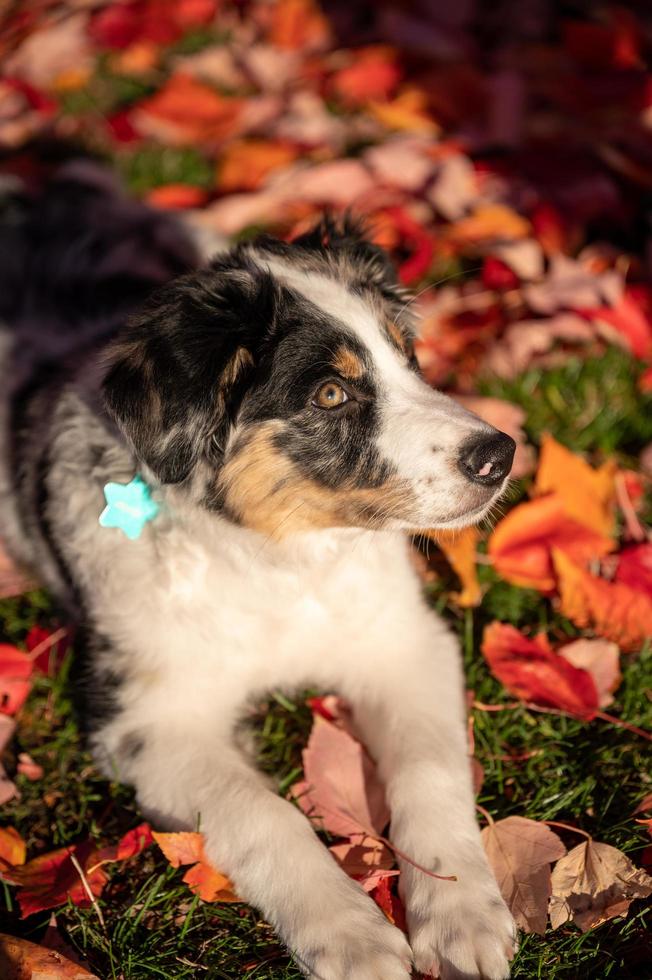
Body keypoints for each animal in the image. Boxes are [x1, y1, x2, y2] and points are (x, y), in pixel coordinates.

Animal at [1, 165, 520, 976]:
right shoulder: (145, 716)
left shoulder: (404, 642)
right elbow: (261, 811)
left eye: (409, 354)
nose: (500, 456)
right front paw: (354, 939)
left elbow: (429, 769)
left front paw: (461, 915)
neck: (281, 565)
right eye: (332, 393)